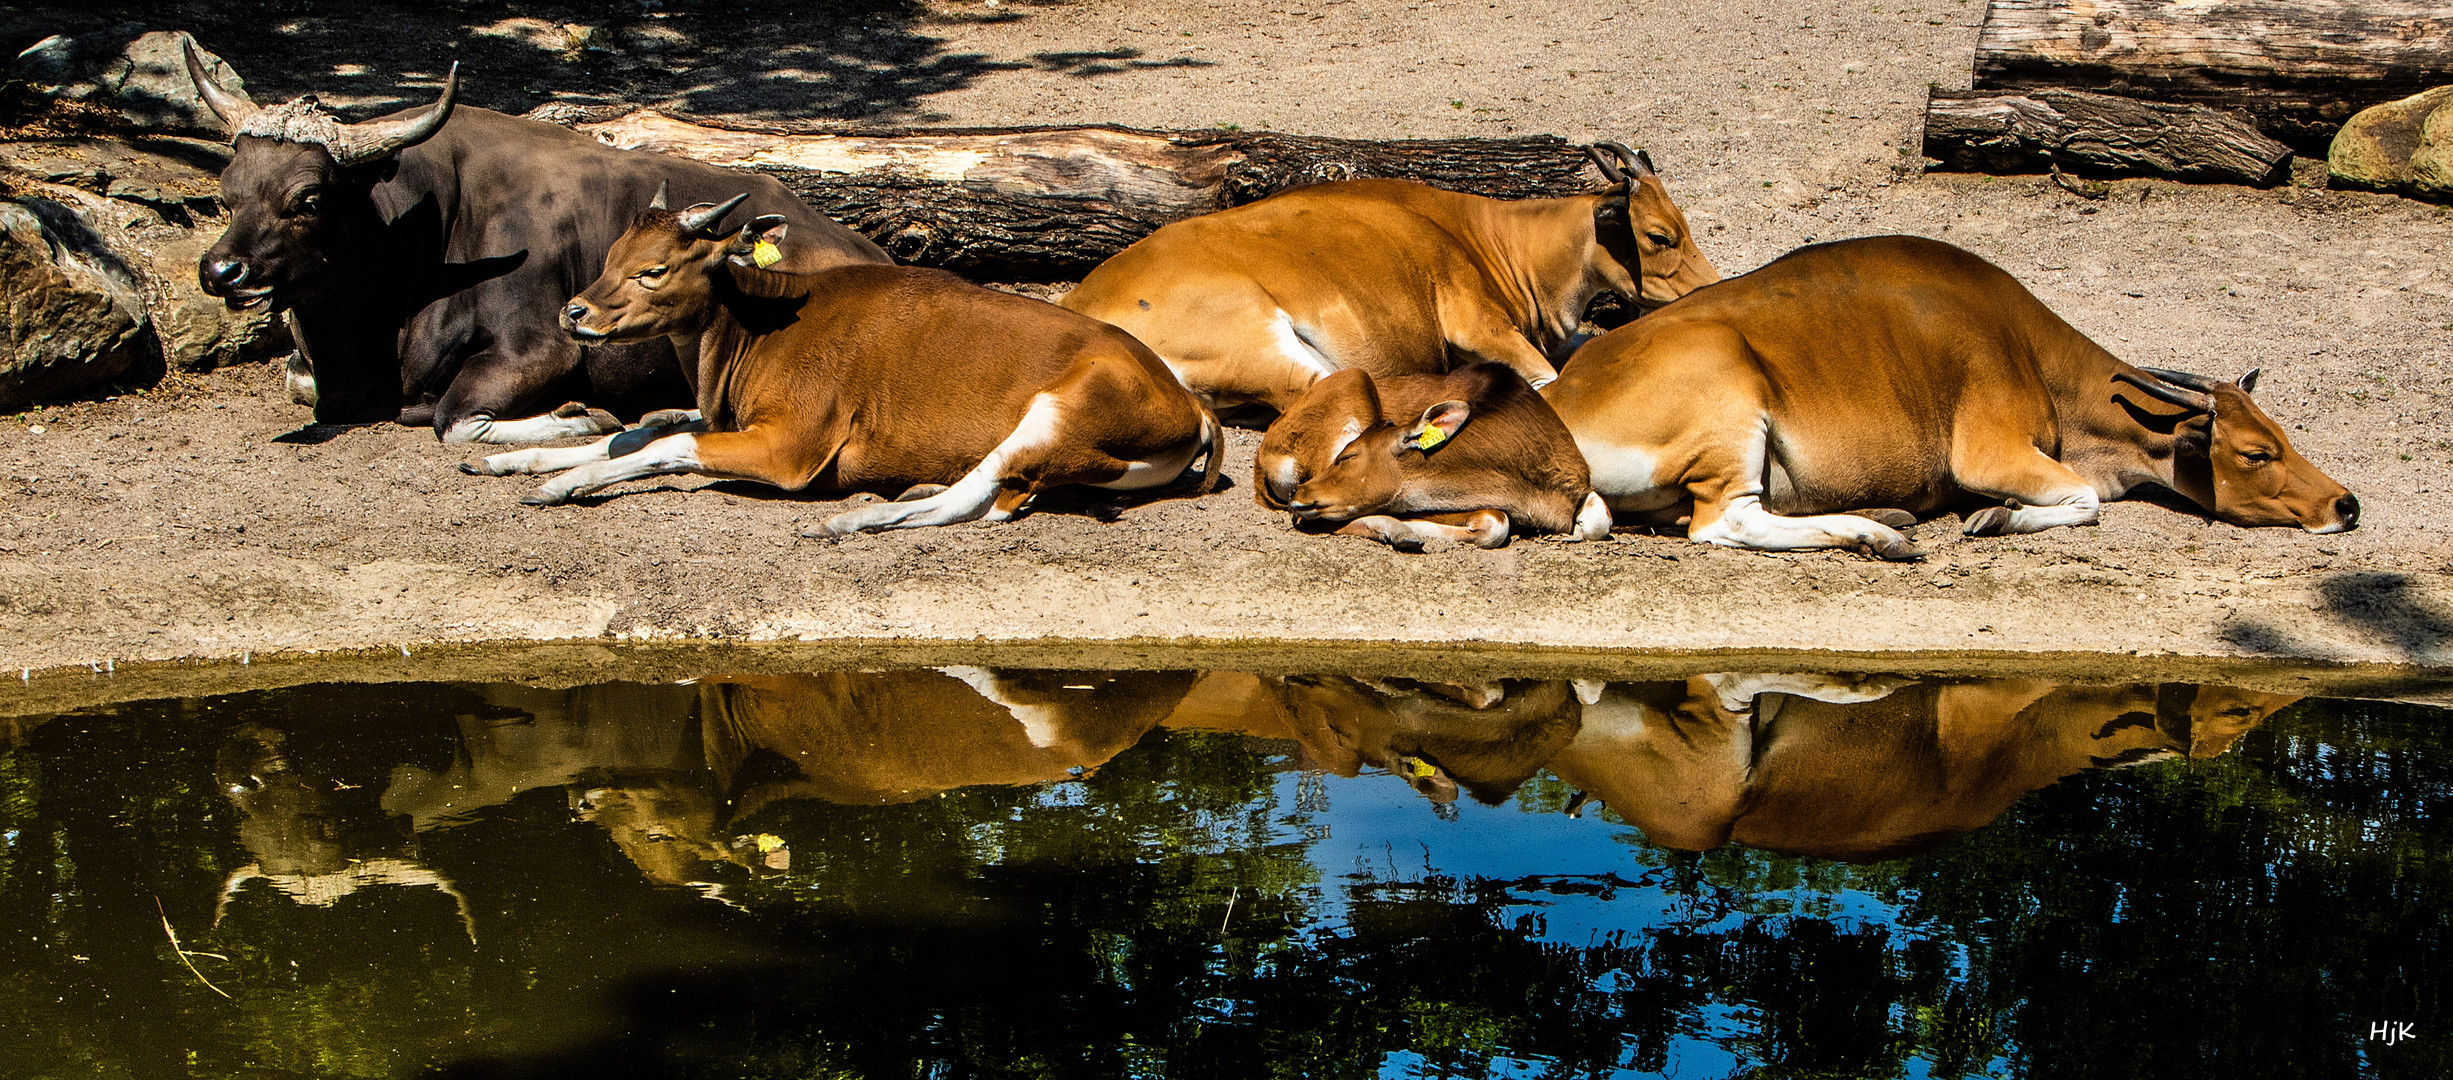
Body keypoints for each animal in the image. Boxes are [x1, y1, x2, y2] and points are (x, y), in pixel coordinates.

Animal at [183, 36, 892, 441]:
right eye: (227, 192)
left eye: (308, 199)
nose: (221, 271)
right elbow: (301, 386)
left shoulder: (540, 351)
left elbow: (453, 422)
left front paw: (583, 415)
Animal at [461, 192, 1216, 535]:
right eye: (610, 256)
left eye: (653, 270)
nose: (574, 312)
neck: (757, 328)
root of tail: (1190, 404)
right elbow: (639, 430)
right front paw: (507, 460)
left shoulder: (791, 446)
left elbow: (664, 443)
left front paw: (564, 484)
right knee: (998, 497)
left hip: (1057, 409)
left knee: (976, 496)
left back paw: (856, 520)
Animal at [1059, 143, 1726, 412]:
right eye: (1660, 235)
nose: (1711, 287)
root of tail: (1084, 304)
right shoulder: (1478, 325)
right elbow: (1548, 376)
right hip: (1263, 340)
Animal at [1255, 363, 1618, 547]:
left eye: (1347, 457)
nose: (1301, 493)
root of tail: (1263, 457)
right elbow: (1494, 521)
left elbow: (1600, 519)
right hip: (1352, 381)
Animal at [1540, 233, 2364, 562]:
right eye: (2255, 453)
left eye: (2286, 436)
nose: (2346, 504)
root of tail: (1563, 396)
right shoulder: (1989, 451)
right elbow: (2081, 500)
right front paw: (1996, 517)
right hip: (1729, 400)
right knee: (1722, 523)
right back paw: (1879, 536)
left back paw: (1889, 516)